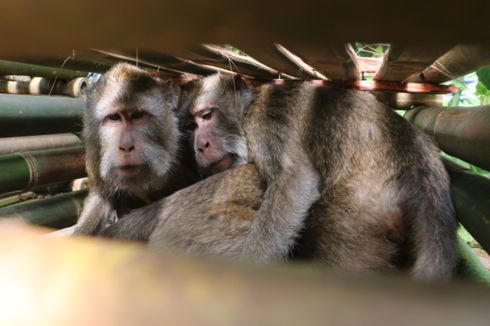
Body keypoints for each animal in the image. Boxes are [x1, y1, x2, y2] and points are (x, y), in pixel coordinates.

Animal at [180, 74, 460, 280]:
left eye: (207, 115)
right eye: (191, 126)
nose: (200, 146)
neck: (249, 107)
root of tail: (417, 156)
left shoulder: (264, 122)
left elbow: (294, 180)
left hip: (360, 211)